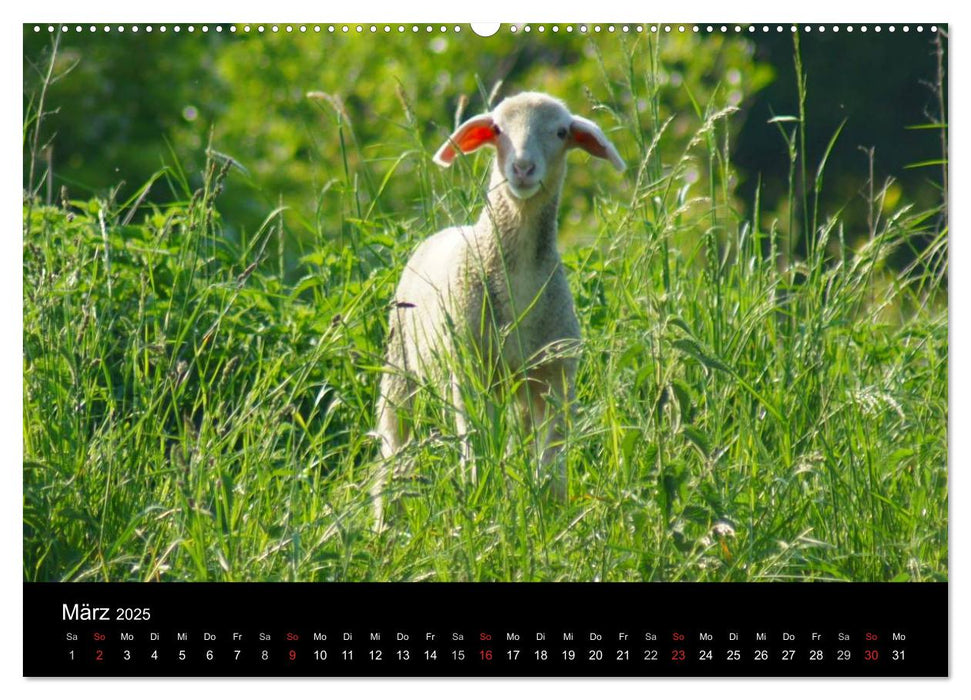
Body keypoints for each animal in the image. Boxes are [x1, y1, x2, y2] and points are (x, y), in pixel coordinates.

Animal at [368, 94, 628, 532]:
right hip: (401, 367)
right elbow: (477, 449)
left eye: (561, 132)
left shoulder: (555, 377)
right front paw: (480, 502)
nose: (522, 168)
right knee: (395, 446)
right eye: (498, 129)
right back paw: (386, 521)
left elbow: (551, 464)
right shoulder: (470, 373)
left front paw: (551, 518)